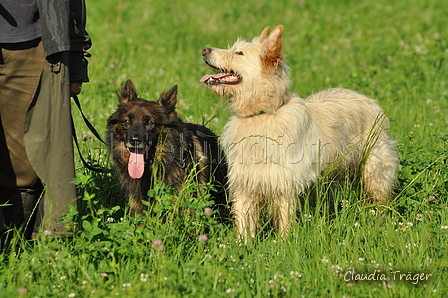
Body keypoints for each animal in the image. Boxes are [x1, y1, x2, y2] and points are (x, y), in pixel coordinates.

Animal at [201, 25, 398, 240]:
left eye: (239, 53)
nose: (204, 49)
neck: (262, 114)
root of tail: (369, 100)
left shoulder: (284, 185)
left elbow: (285, 222)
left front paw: (284, 245)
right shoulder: (246, 184)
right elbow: (245, 224)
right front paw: (242, 246)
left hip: (375, 174)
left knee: (380, 203)